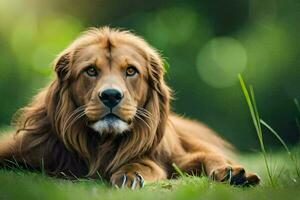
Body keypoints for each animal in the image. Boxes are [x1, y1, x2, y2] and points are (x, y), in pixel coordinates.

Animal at [0, 27, 258, 188]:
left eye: (131, 71)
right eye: (91, 70)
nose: (111, 96)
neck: (101, 143)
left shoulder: (167, 156)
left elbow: (147, 162)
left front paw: (130, 175)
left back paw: (235, 174)